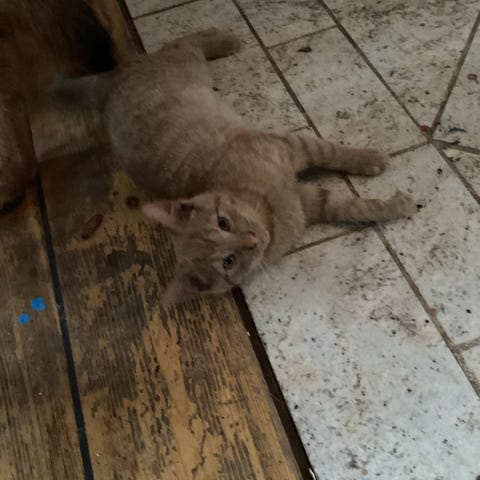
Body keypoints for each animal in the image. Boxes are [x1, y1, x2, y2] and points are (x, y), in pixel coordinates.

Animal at [38, 29, 417, 304]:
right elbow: (352, 206)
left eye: (224, 222)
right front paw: (394, 205)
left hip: (185, 63)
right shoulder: (310, 201)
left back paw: (223, 38)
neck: (259, 201)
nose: (251, 240)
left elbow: (333, 152)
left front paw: (369, 159)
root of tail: (110, 87)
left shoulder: (293, 147)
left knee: (183, 41)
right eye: (228, 262)